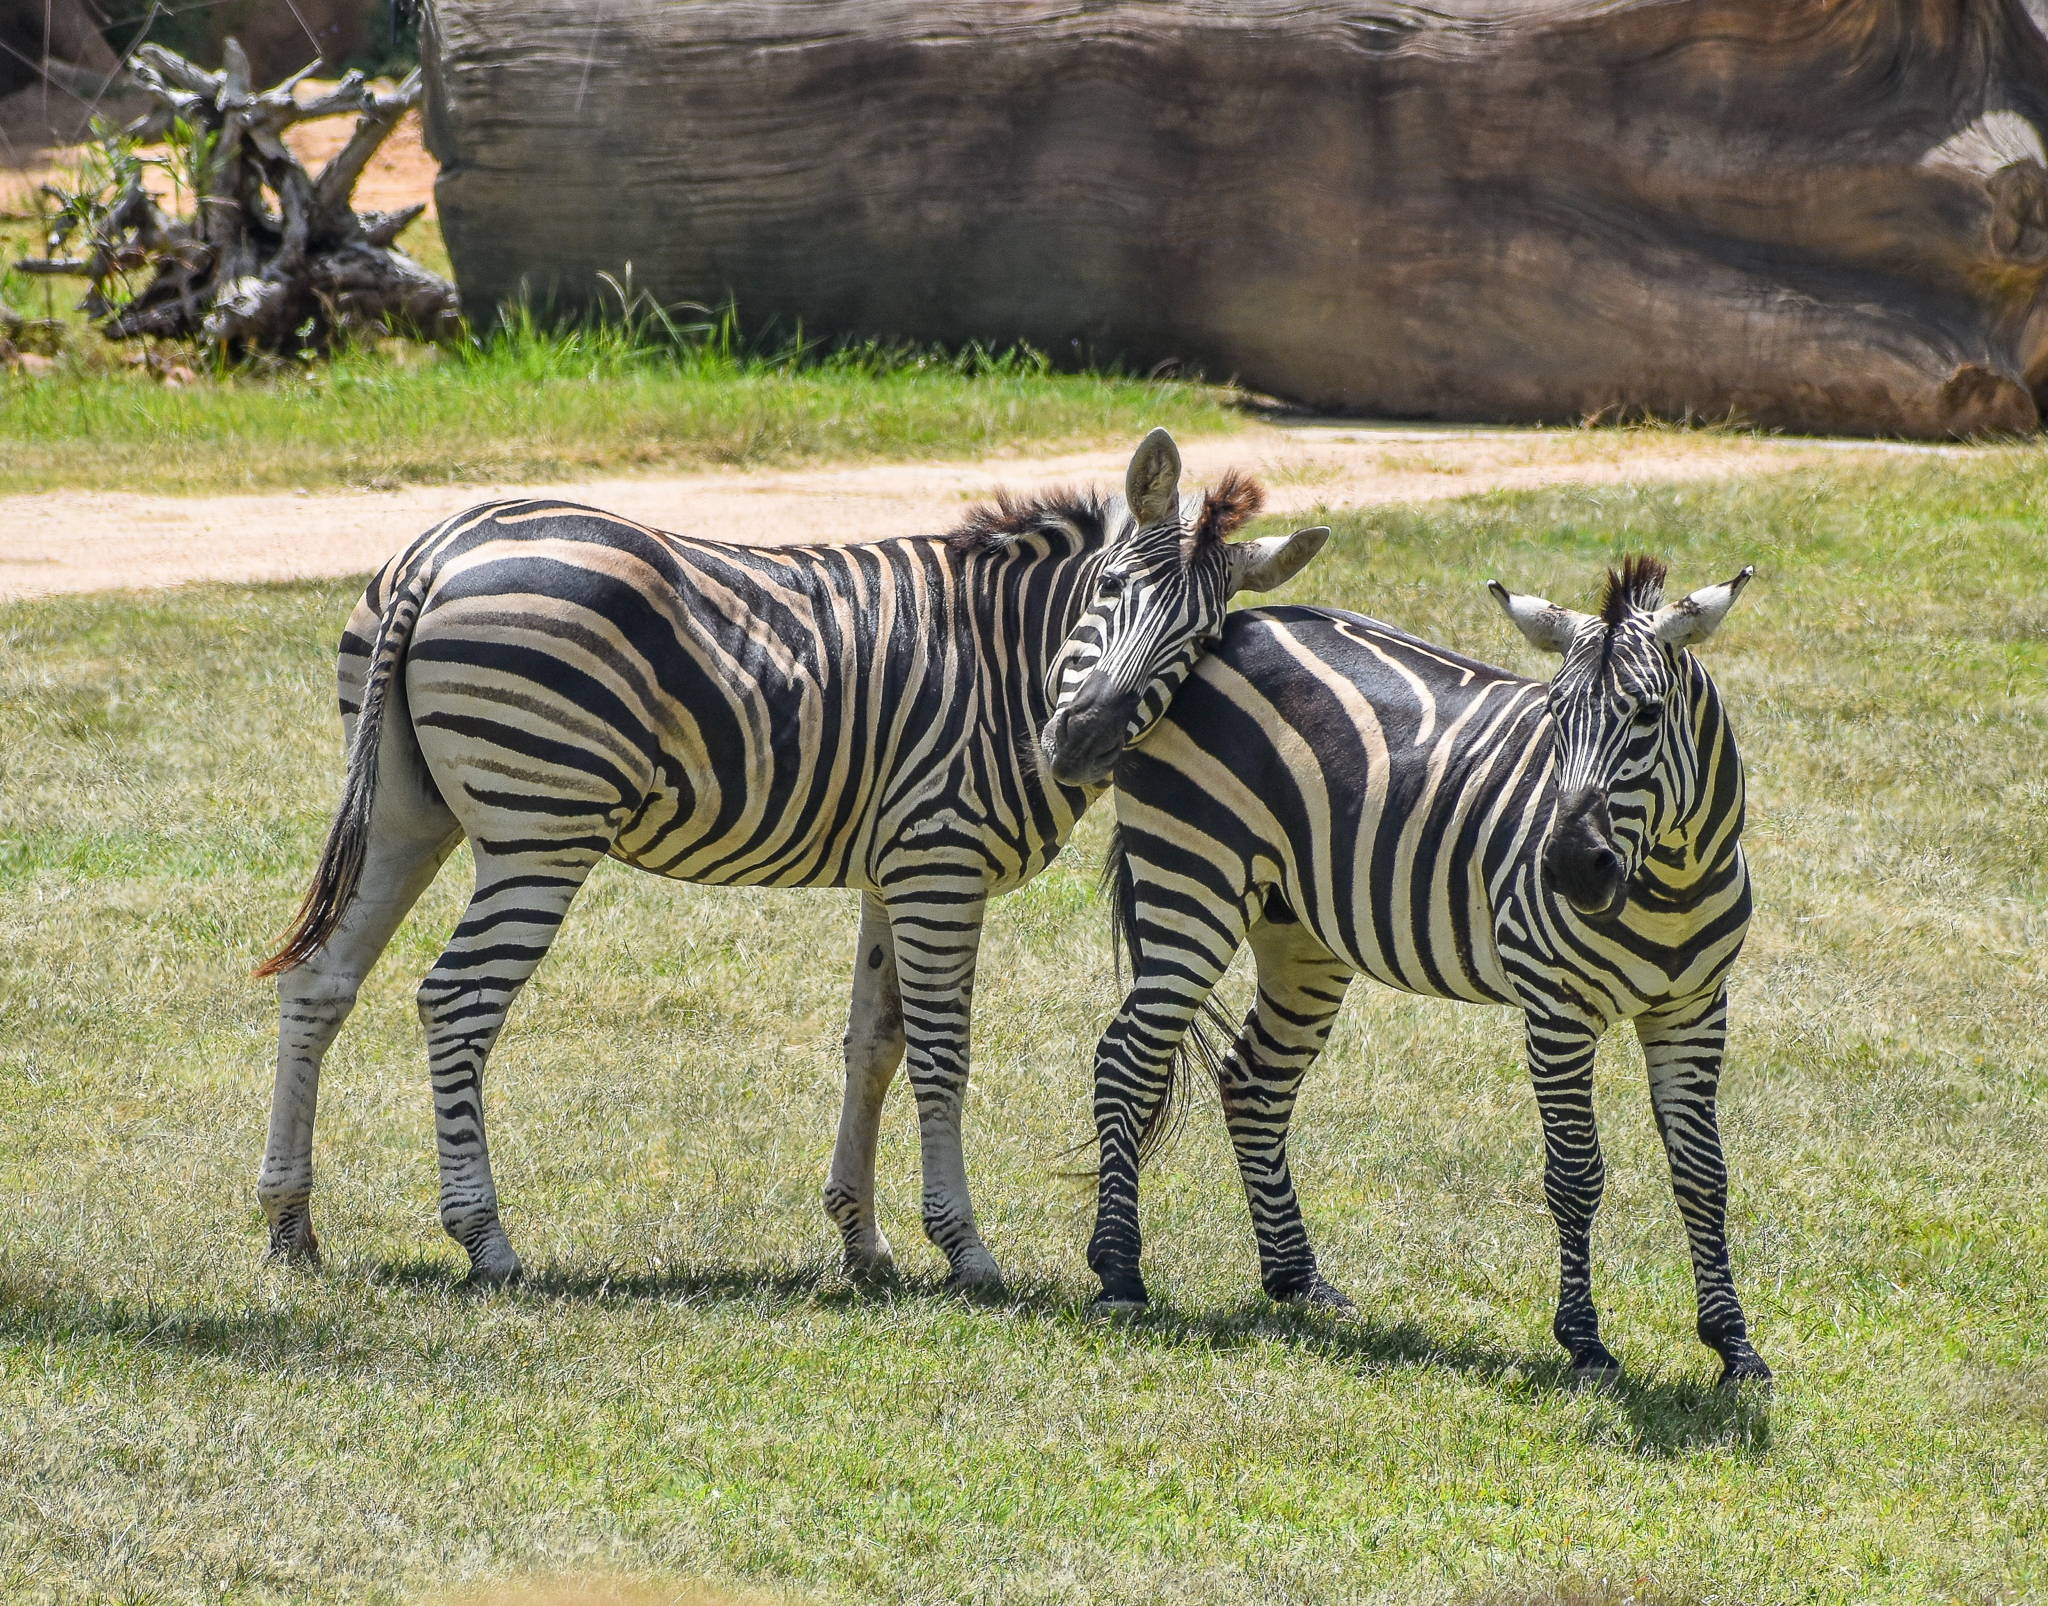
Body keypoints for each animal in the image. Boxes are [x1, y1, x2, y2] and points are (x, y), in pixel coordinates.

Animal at [252, 428, 1329, 1286]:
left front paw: (863, 1242)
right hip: (540, 831)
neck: (1003, 655)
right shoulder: (940, 862)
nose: (1078, 744)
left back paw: (291, 1227)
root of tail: (443, 546)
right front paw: (965, 1249)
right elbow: (942, 1051)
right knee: (457, 1002)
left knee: (321, 980)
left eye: (1199, 637)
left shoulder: (893, 870)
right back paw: (485, 1239)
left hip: (405, 811)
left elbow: (873, 1046)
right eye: (1107, 590)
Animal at [1085, 557, 1772, 1387]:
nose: (1569, 868)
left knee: (1254, 1080)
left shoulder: (1695, 1009)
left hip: (1300, 932)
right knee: (1126, 1059)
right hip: (1193, 880)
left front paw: (1734, 1346)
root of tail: (1233, 624)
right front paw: (1584, 1343)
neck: (1671, 880)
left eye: (1645, 714)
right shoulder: (1557, 1010)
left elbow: (1704, 1174)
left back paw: (1300, 1281)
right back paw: (1120, 1273)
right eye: (1554, 715)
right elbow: (1576, 1175)